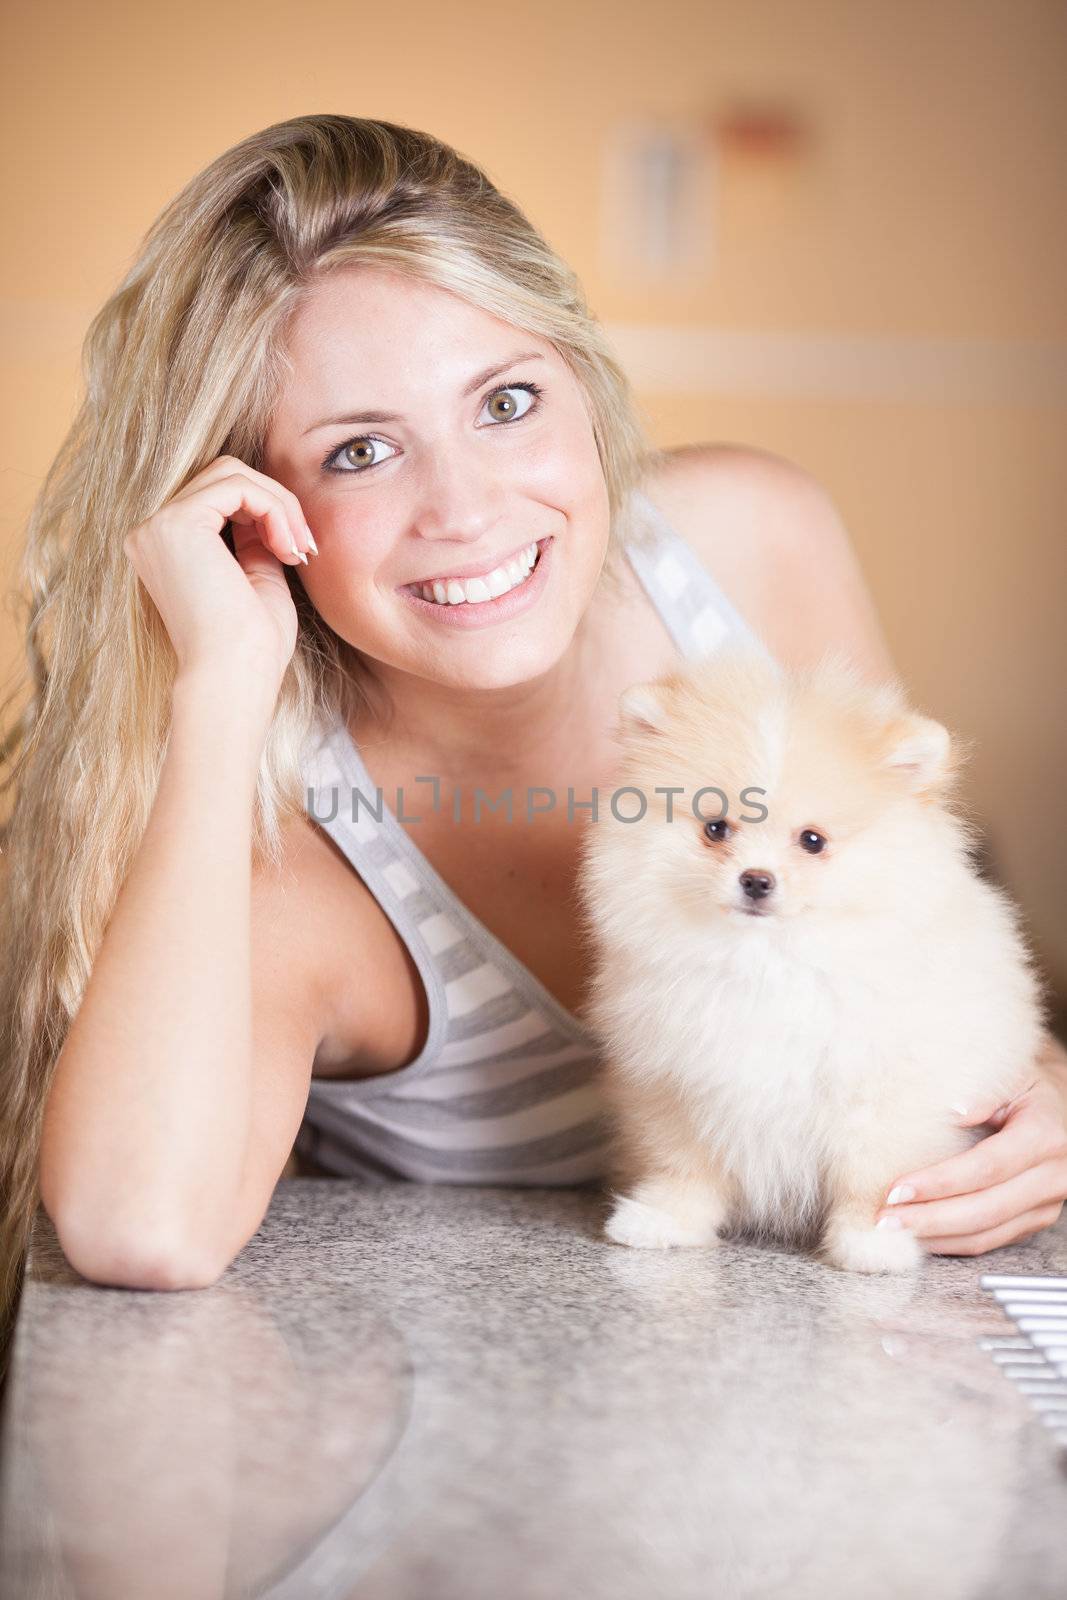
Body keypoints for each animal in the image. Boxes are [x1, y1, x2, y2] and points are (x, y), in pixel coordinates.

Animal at [579, 636, 1049, 1273]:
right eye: (716, 829)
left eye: (812, 841)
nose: (756, 879)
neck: (769, 962)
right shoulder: (678, 1084)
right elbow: (686, 1165)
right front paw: (662, 1219)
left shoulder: (887, 1096)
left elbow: (876, 1179)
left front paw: (873, 1242)